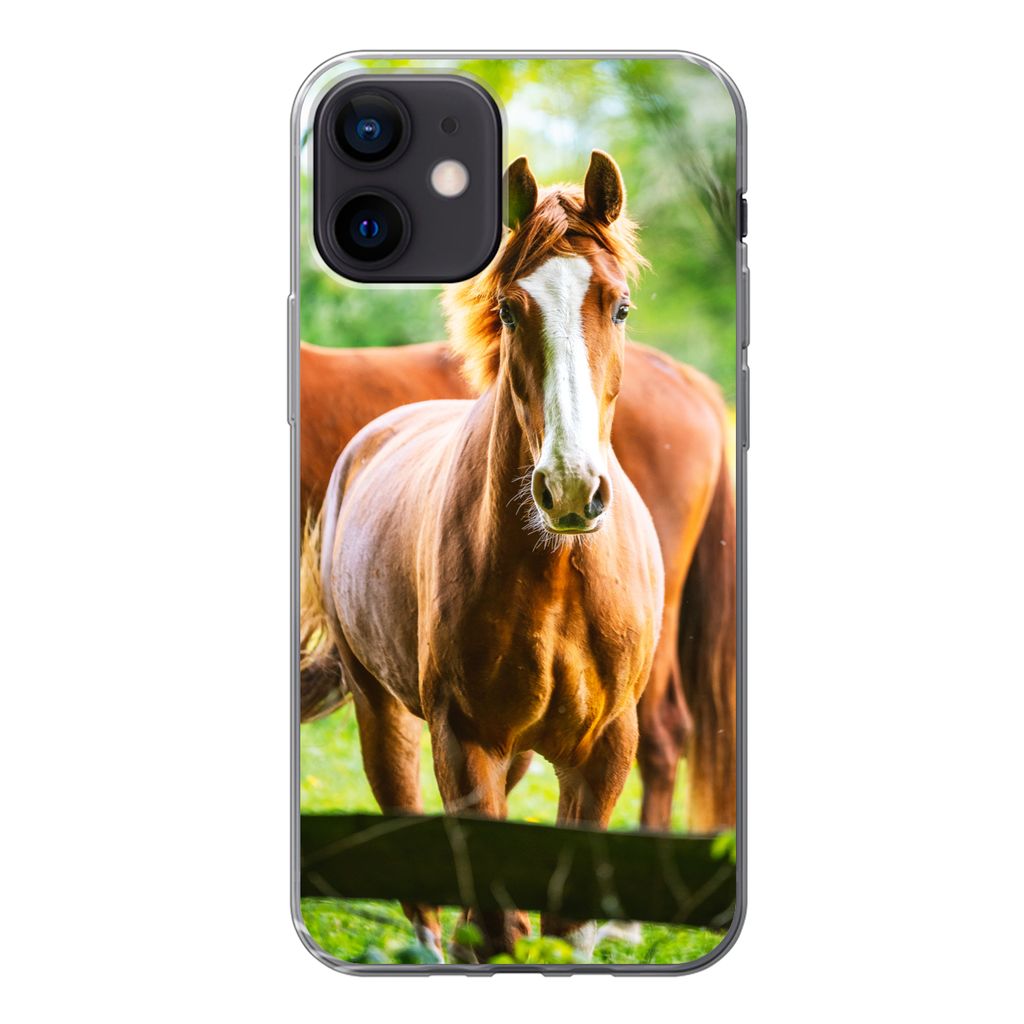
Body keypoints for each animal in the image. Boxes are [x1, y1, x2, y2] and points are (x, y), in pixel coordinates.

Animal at [303, 152, 669, 959]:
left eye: (620, 307)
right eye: (508, 309)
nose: (570, 487)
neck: (558, 574)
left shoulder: (604, 749)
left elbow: (564, 926)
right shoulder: (465, 739)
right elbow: (497, 922)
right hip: (385, 718)